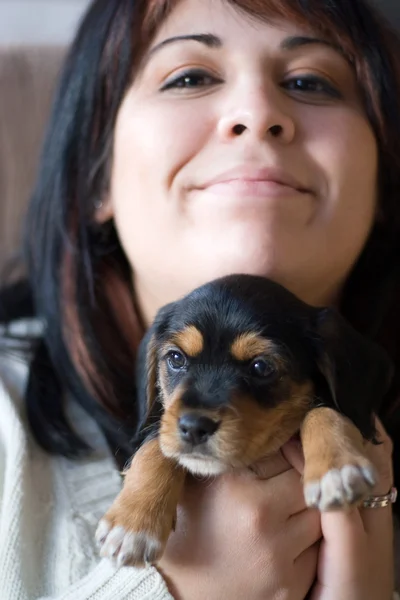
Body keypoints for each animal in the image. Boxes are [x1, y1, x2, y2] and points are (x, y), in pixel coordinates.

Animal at [95, 276, 392, 568]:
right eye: (176, 358)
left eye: (261, 367)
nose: (194, 427)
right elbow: (154, 444)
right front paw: (133, 524)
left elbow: (324, 412)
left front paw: (337, 468)